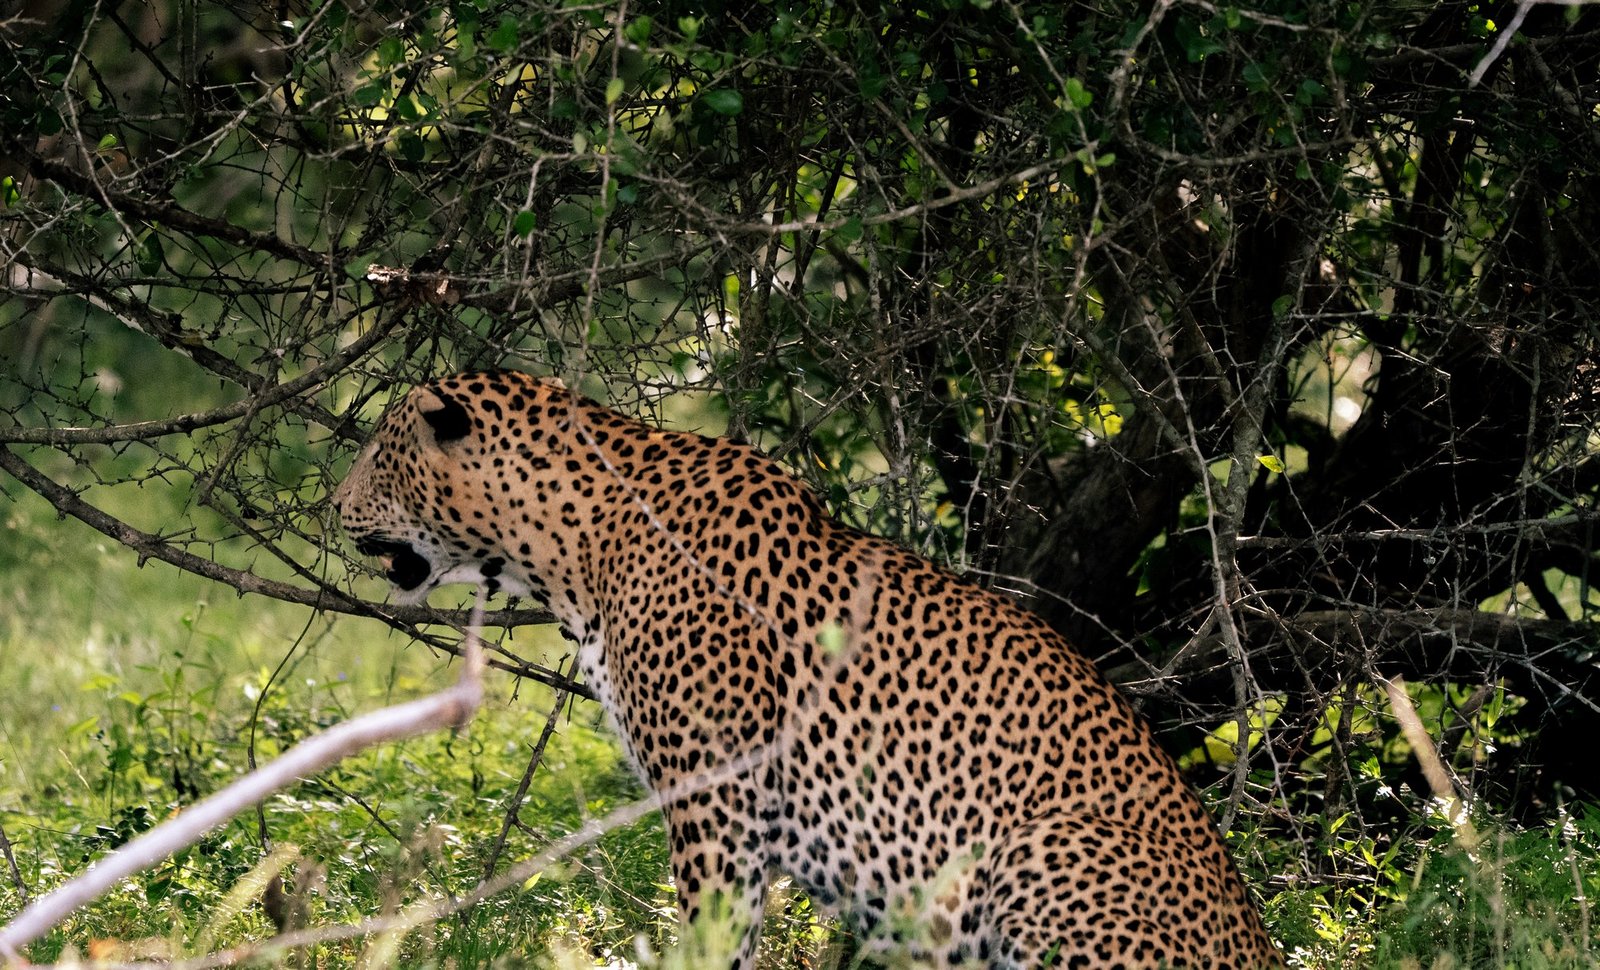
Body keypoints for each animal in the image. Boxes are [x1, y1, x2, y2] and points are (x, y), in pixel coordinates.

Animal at [332, 370, 1282, 969]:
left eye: (379, 452)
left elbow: (713, 942)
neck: (575, 550)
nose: (333, 506)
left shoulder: (715, 799)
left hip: (1042, 852)